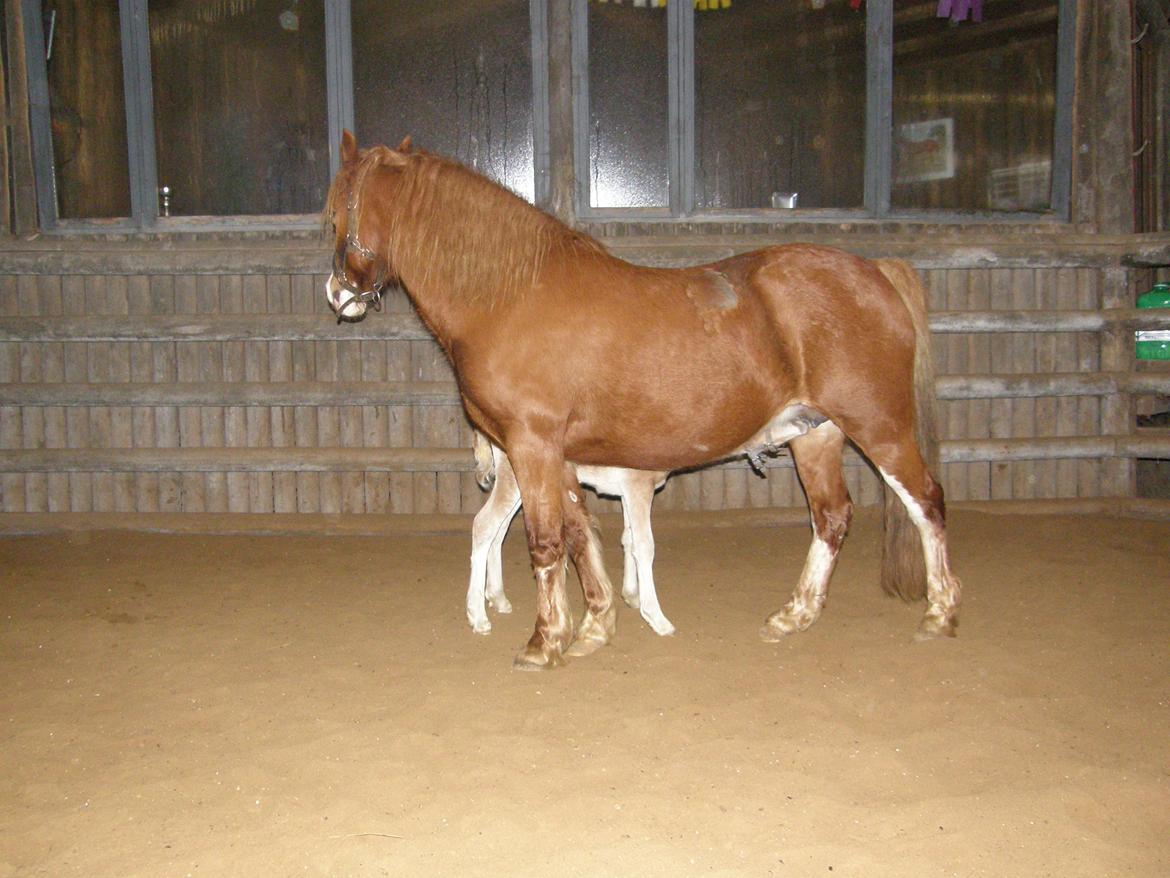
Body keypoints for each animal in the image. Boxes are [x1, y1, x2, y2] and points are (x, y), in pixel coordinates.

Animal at [327, 130, 959, 669]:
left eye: (335, 212)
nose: (338, 294)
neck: (509, 295)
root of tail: (873, 270)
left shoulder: (532, 447)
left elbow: (545, 541)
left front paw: (544, 642)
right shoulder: (559, 455)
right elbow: (582, 536)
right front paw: (595, 625)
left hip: (879, 427)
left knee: (925, 501)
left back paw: (940, 613)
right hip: (817, 434)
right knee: (831, 517)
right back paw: (794, 615)